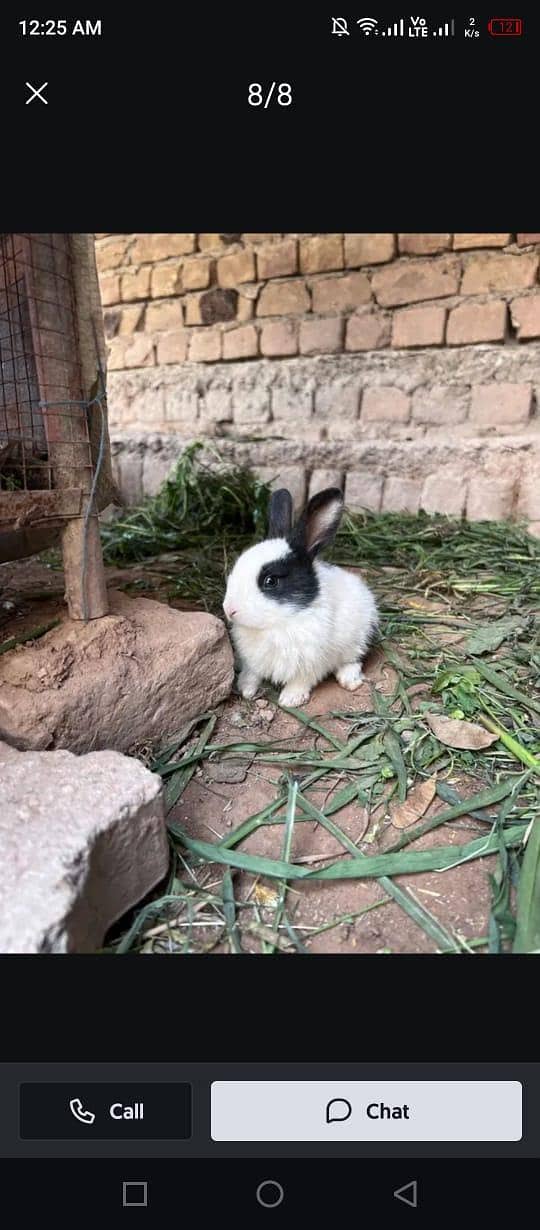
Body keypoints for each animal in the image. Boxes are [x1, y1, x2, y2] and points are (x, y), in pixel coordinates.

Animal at [222, 485, 378, 708]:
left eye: (270, 581)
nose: (229, 609)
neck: (278, 624)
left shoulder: (312, 662)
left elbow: (302, 680)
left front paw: (290, 699)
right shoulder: (252, 659)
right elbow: (252, 673)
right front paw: (245, 689)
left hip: (361, 637)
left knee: (355, 660)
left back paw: (349, 680)